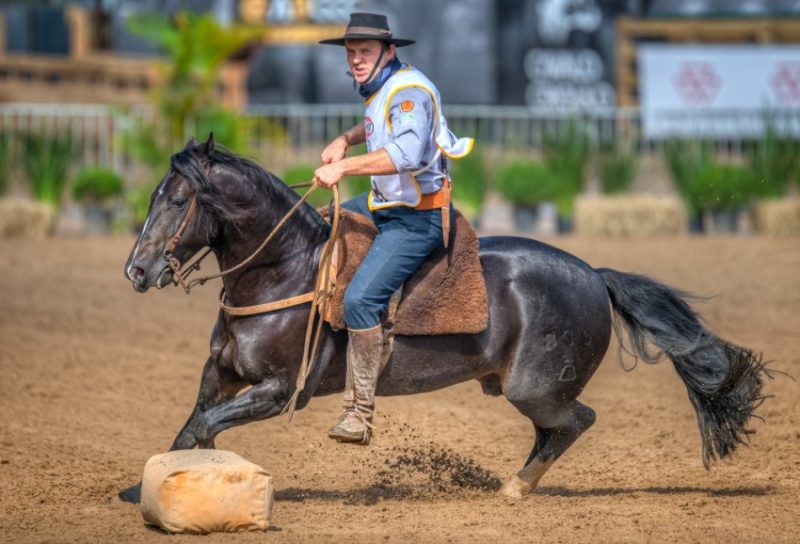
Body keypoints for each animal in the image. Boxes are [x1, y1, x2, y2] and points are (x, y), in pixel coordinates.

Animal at [123, 134, 768, 500]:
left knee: (575, 421)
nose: (136, 270)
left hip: (537, 387)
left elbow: (203, 431)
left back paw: (515, 489)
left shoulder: (279, 391)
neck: (287, 270)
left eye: (177, 200)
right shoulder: (220, 377)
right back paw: (514, 485)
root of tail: (593, 273)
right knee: (555, 430)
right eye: (153, 195)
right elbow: (190, 429)